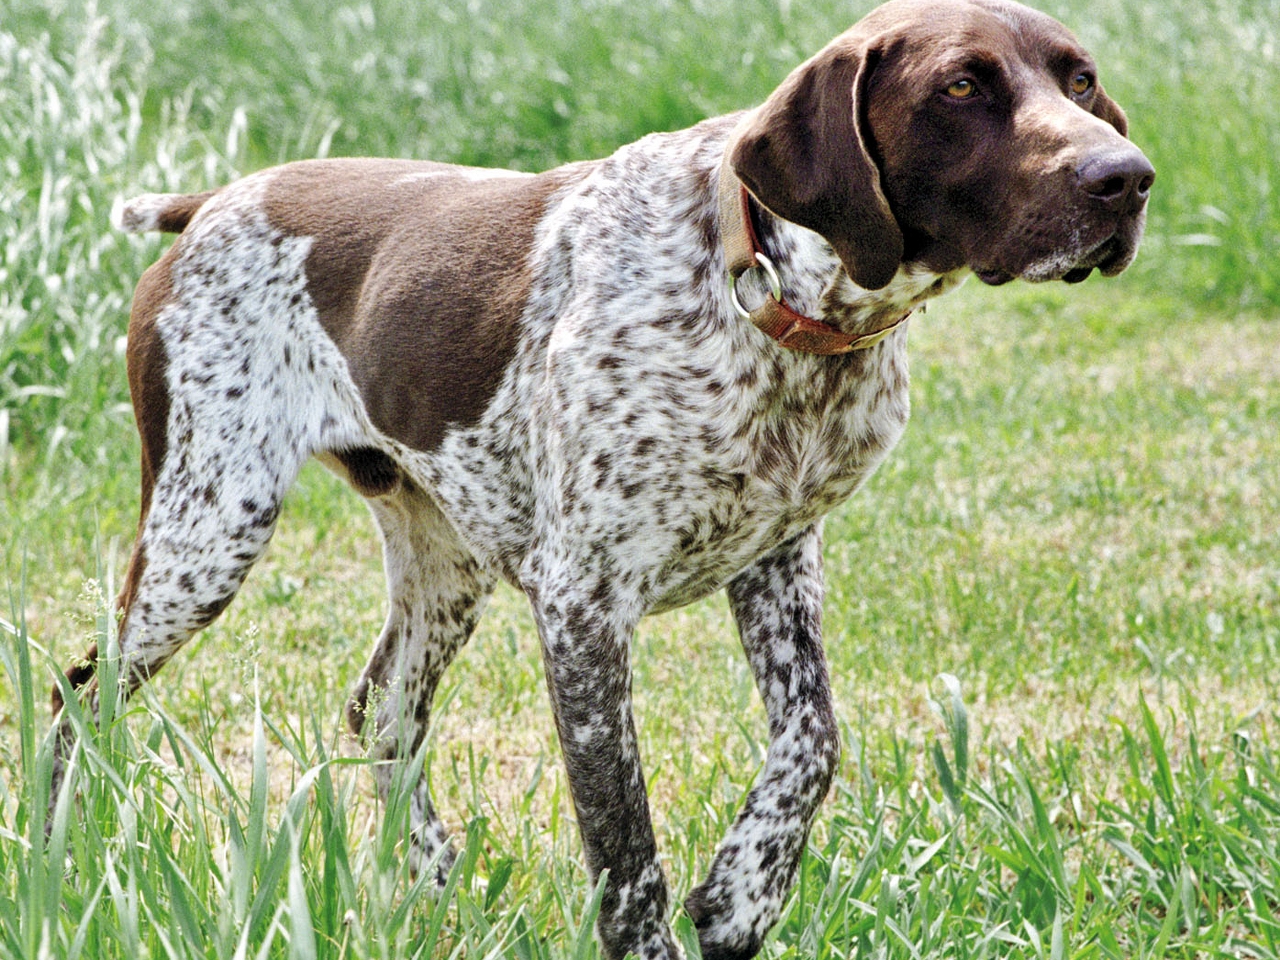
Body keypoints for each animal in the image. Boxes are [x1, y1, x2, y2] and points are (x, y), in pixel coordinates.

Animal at [47, 3, 1152, 957]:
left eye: (1079, 80)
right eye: (960, 86)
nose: (1126, 178)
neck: (761, 293)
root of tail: (215, 202)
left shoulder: (776, 561)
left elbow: (812, 741)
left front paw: (745, 893)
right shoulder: (582, 607)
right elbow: (626, 850)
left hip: (443, 563)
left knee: (383, 711)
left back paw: (431, 882)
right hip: (207, 532)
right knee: (78, 699)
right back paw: (60, 865)